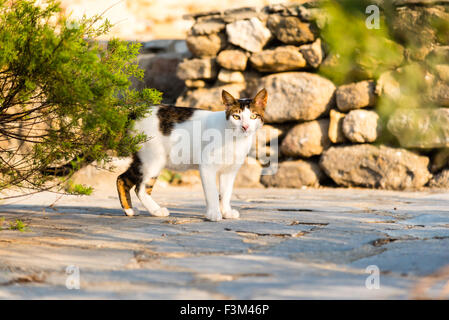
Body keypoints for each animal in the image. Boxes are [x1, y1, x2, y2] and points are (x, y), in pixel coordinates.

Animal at [117, 89, 268, 221]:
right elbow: (212, 192)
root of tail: (136, 112)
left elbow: (226, 192)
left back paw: (130, 210)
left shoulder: (229, 171)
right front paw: (213, 214)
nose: (245, 127)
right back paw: (156, 210)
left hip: (142, 158)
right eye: (236, 116)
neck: (235, 138)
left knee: (122, 178)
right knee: (141, 188)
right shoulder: (207, 166)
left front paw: (226, 212)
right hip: (153, 159)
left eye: (253, 116)